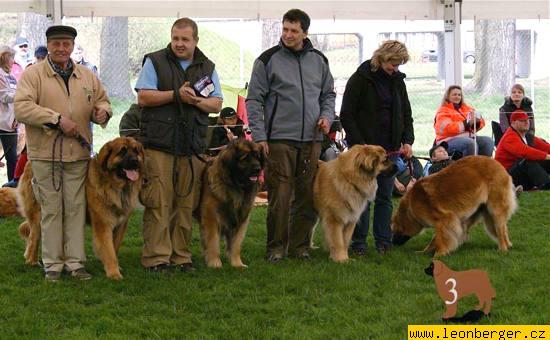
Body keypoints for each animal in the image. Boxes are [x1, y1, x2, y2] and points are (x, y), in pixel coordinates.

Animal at [18, 137, 144, 280]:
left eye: (136, 150)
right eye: (122, 151)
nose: (135, 161)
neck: (116, 186)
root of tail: (29, 162)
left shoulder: (121, 224)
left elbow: (115, 247)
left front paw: (116, 267)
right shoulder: (103, 224)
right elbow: (109, 250)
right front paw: (114, 273)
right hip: (40, 213)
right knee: (34, 237)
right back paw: (32, 261)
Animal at [196, 139, 266, 268]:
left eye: (257, 156)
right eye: (245, 158)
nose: (258, 169)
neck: (236, 187)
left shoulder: (241, 218)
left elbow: (236, 244)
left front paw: (237, 264)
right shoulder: (211, 218)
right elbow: (213, 241)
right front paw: (215, 263)